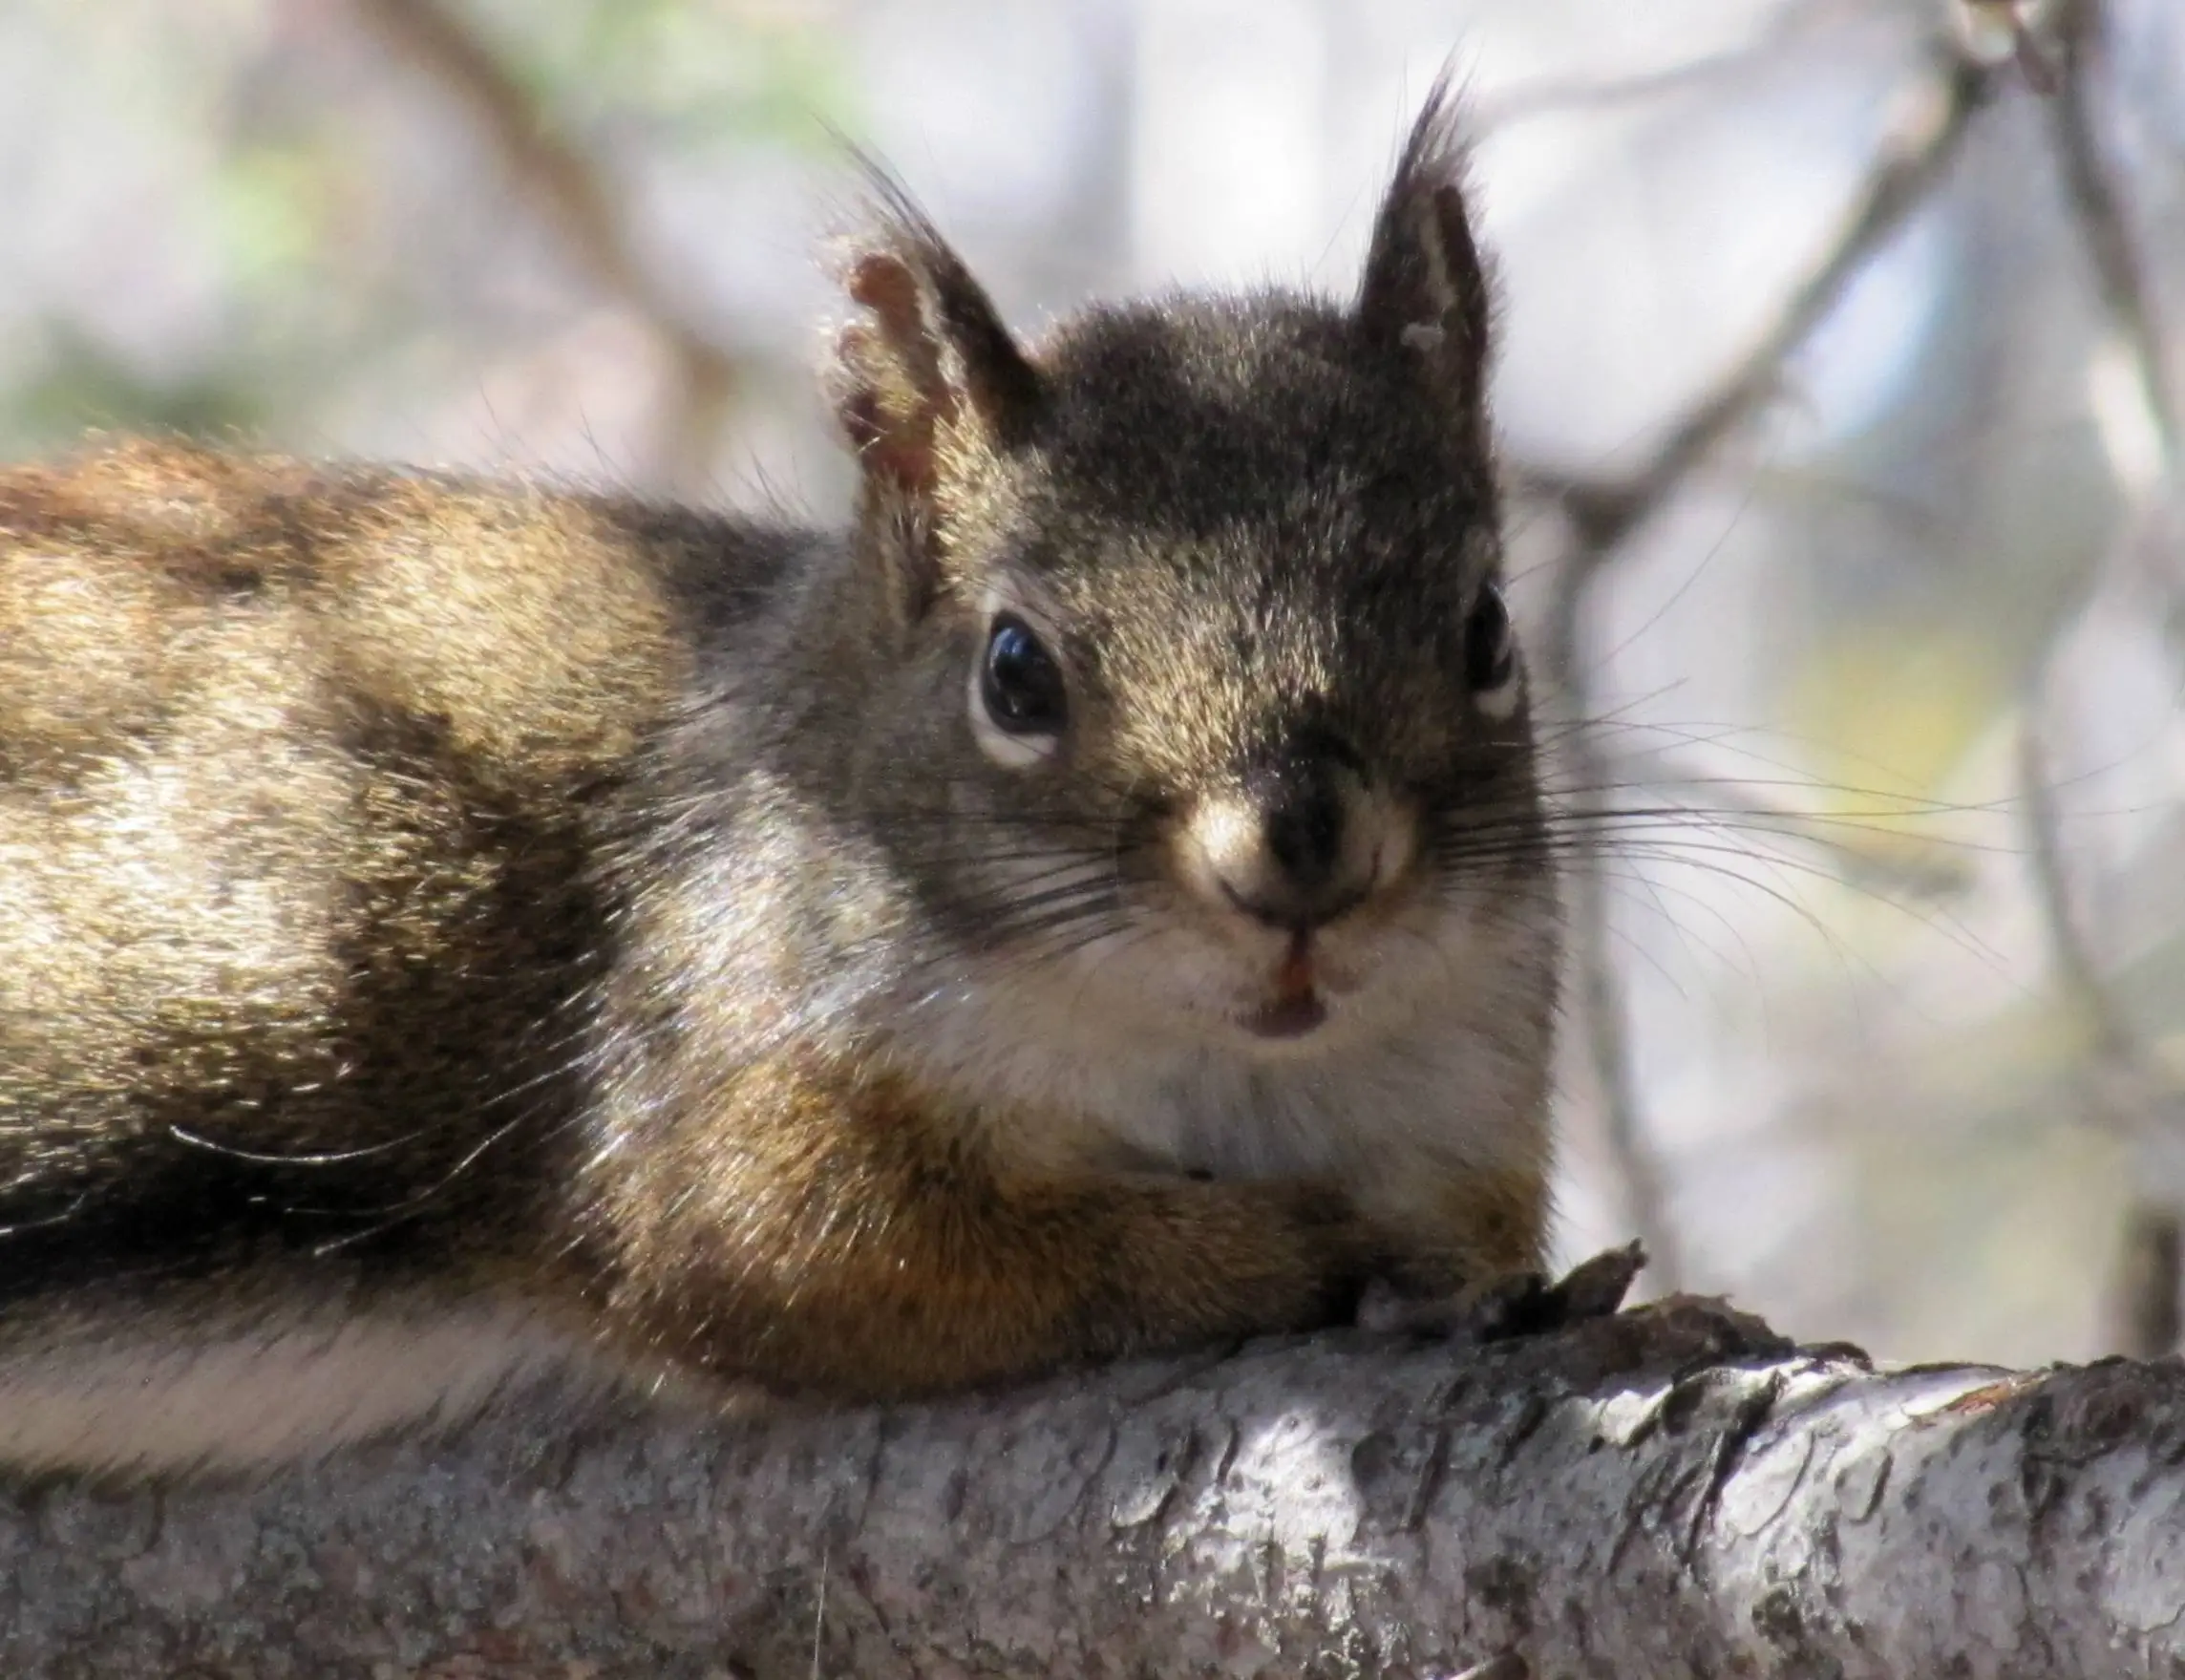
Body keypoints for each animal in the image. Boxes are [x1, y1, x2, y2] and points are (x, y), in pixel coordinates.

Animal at [0, 85, 1573, 1468]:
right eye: (1014, 671)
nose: (1302, 858)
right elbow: (823, 1251)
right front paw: (1301, 1243)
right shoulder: (701, 1062)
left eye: (1488, 628)